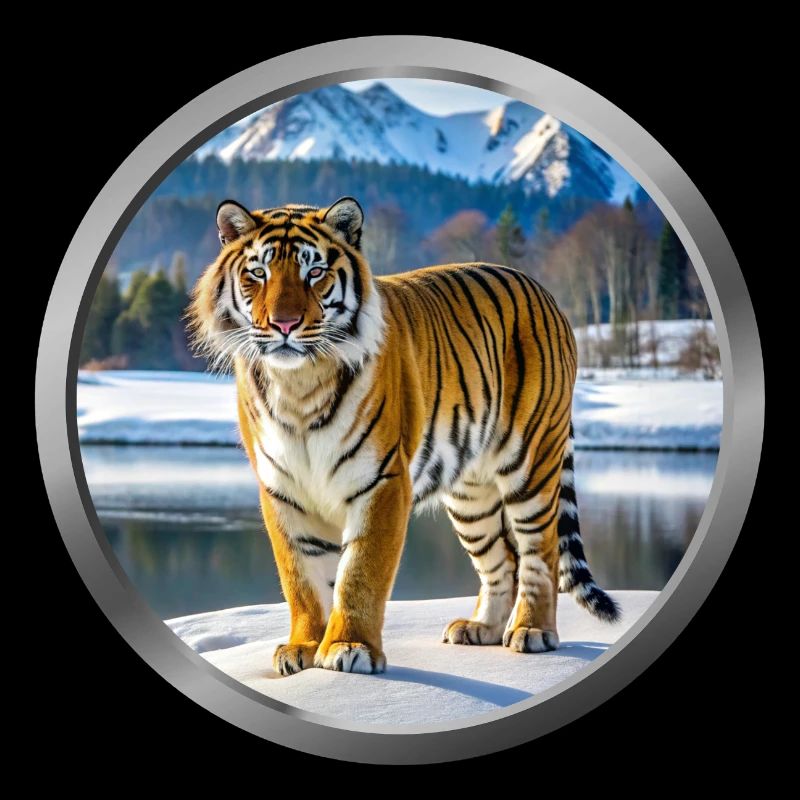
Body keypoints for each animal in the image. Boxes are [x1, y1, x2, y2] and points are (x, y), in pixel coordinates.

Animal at [188, 196, 620, 676]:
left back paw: (532, 631)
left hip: (532, 463)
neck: (299, 385)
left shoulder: (381, 481)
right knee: (501, 558)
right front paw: (303, 648)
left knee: (538, 551)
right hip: (470, 493)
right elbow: (301, 578)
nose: (284, 324)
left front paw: (349, 648)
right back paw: (480, 628)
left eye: (314, 272)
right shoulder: (283, 488)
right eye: (258, 273)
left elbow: (359, 573)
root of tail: (544, 292)